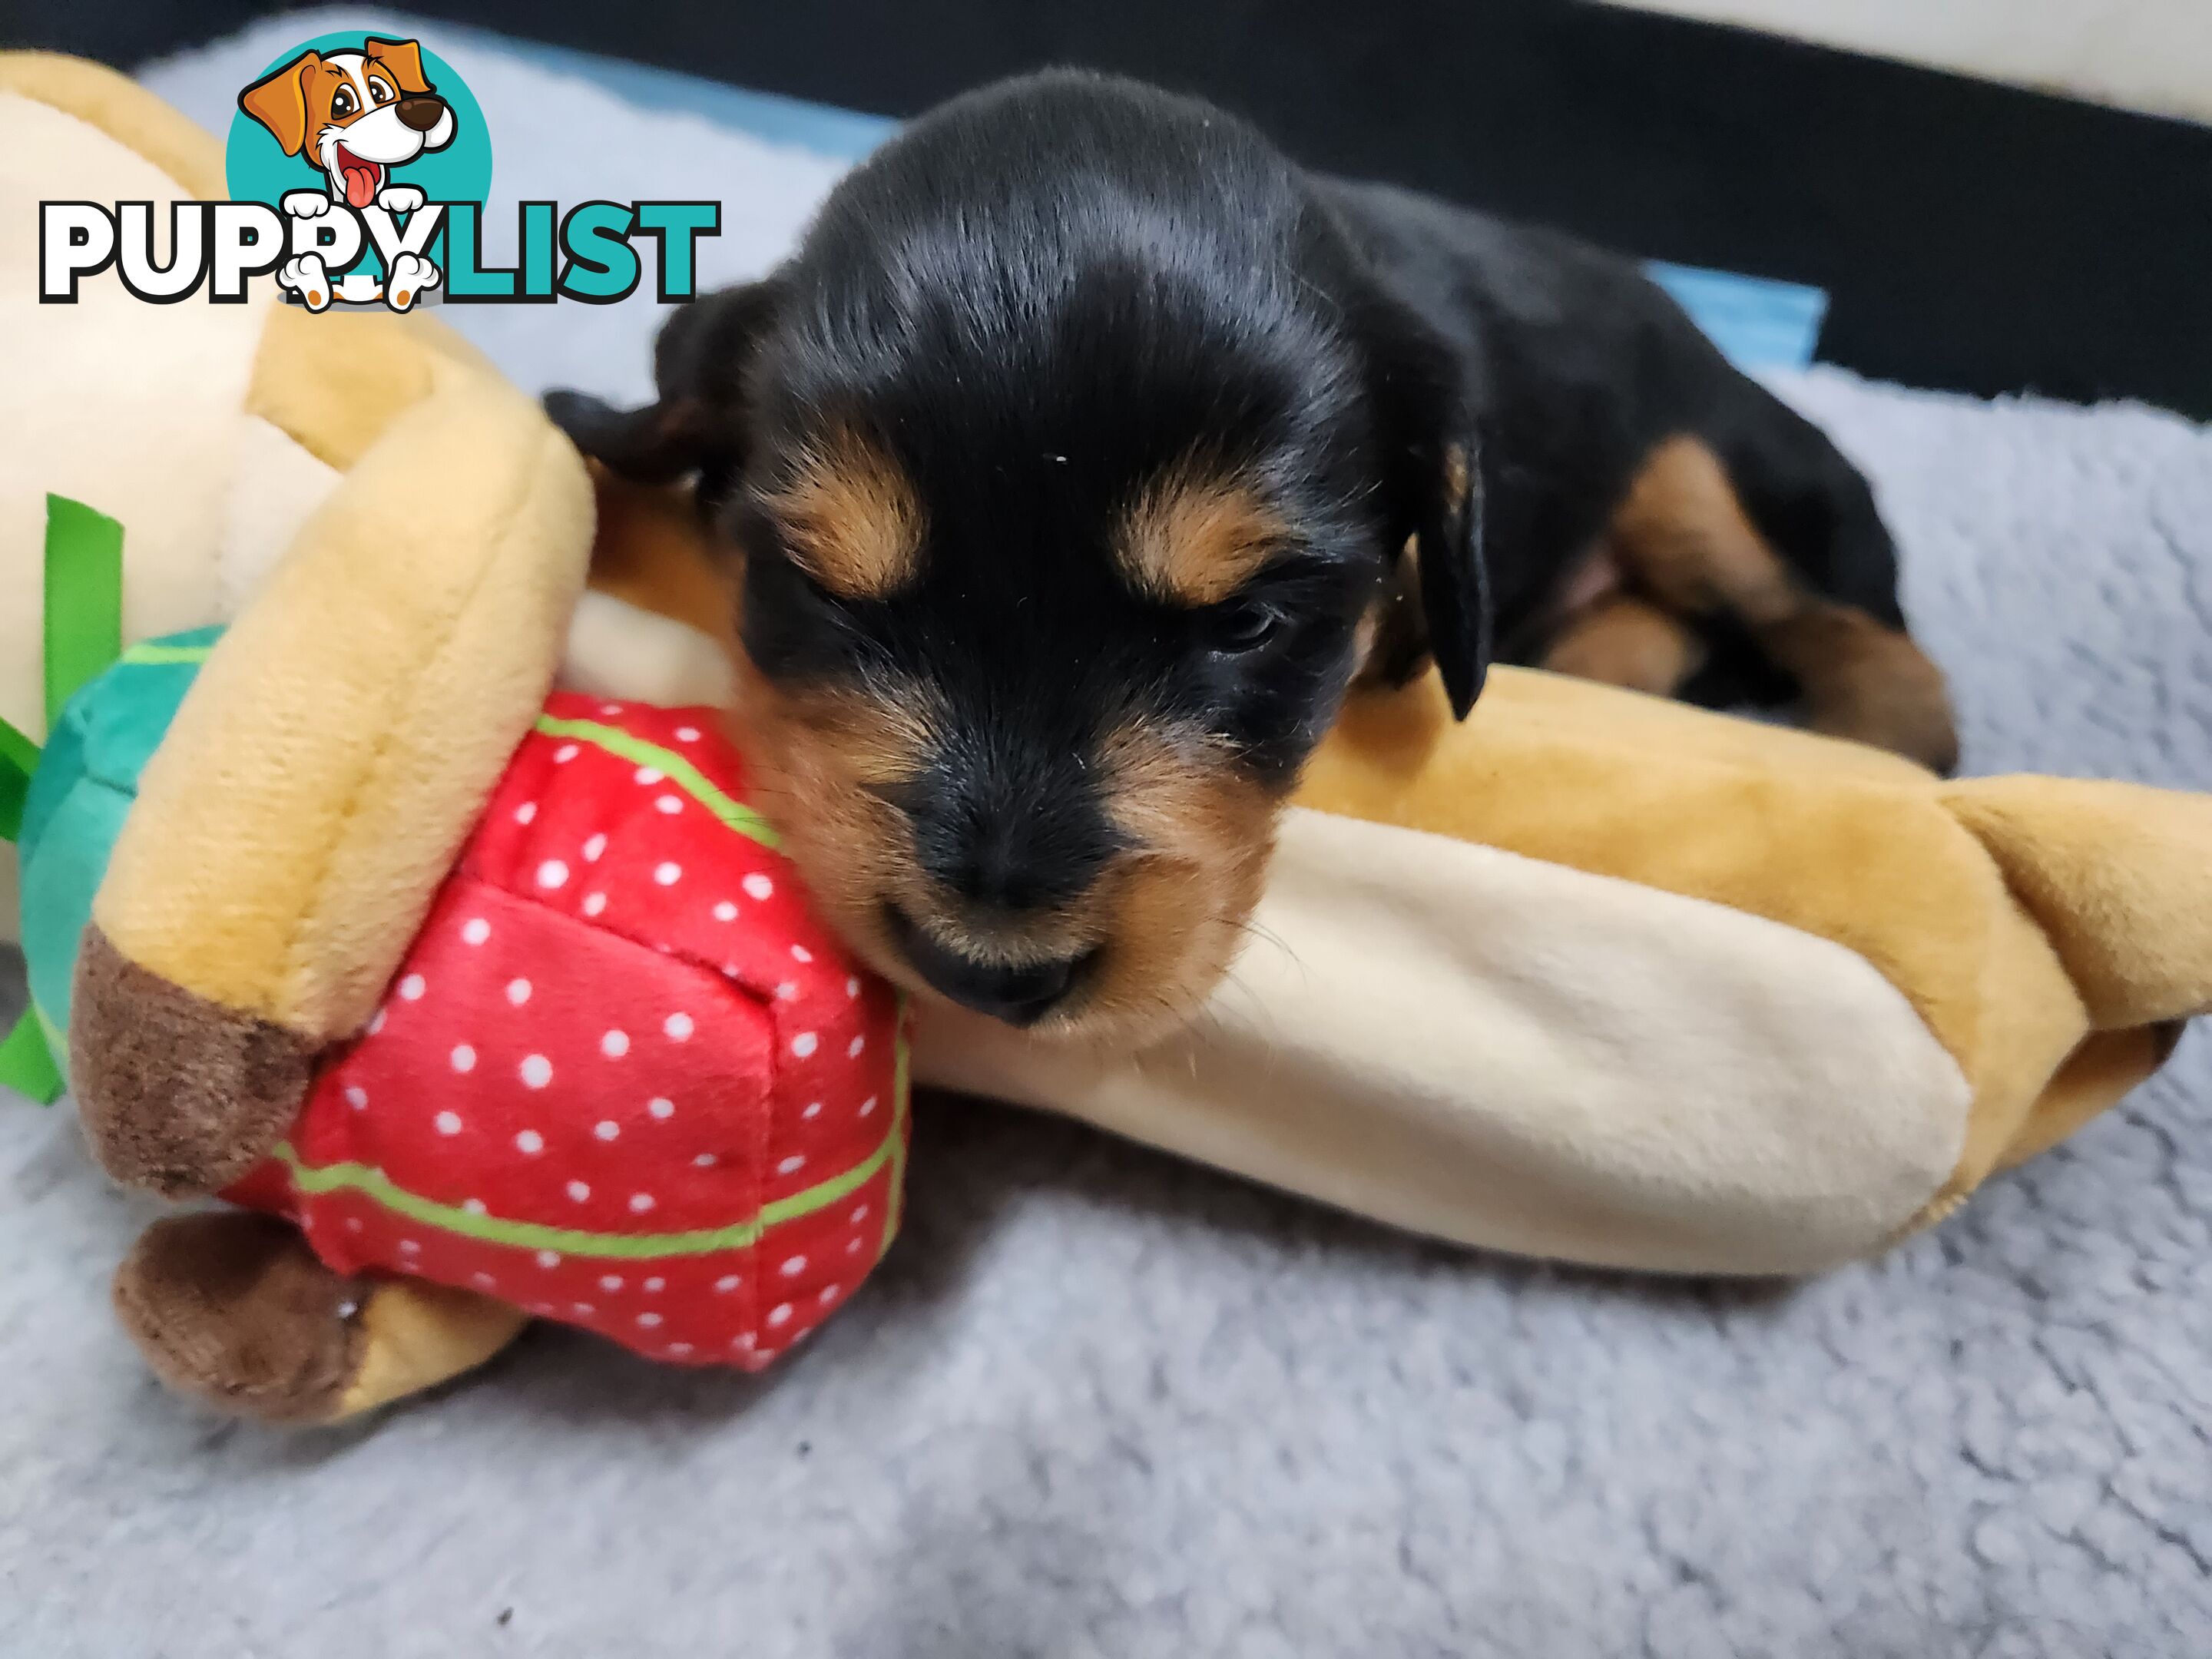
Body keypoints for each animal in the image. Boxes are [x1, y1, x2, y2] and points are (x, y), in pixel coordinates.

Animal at [548, 78, 1955, 1044]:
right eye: (829, 594)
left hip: (1708, 470)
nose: (988, 976)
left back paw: (1886, 748)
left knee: (1867, 634)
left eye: (1247, 627)